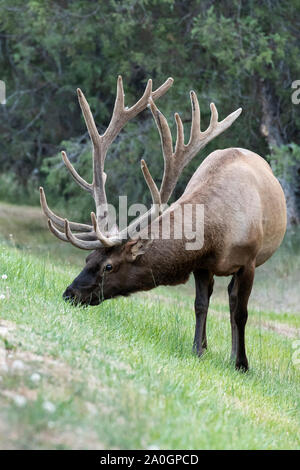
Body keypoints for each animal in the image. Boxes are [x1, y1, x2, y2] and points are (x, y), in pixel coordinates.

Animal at [39, 76, 286, 370]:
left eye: (109, 266)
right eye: (88, 259)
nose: (70, 294)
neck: (219, 234)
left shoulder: (248, 262)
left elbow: (241, 312)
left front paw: (241, 364)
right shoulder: (202, 263)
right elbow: (200, 304)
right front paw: (197, 349)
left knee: (233, 300)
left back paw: (234, 357)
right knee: (219, 294)